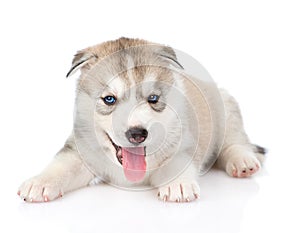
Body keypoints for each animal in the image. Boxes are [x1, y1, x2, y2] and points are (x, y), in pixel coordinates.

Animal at [17, 37, 264, 202]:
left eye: (153, 98)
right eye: (109, 99)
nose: (137, 134)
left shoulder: (185, 141)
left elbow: (177, 161)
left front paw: (177, 184)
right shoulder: (81, 151)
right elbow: (63, 165)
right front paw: (40, 182)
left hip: (226, 108)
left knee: (235, 143)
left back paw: (242, 161)